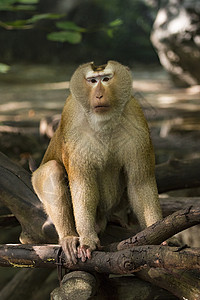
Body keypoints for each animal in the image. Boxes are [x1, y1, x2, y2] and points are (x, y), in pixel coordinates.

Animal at [31, 60, 162, 264]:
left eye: (106, 79)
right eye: (93, 81)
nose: (99, 94)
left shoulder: (135, 117)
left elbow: (140, 182)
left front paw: (157, 235)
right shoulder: (73, 122)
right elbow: (82, 183)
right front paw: (87, 239)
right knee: (52, 169)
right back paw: (69, 237)